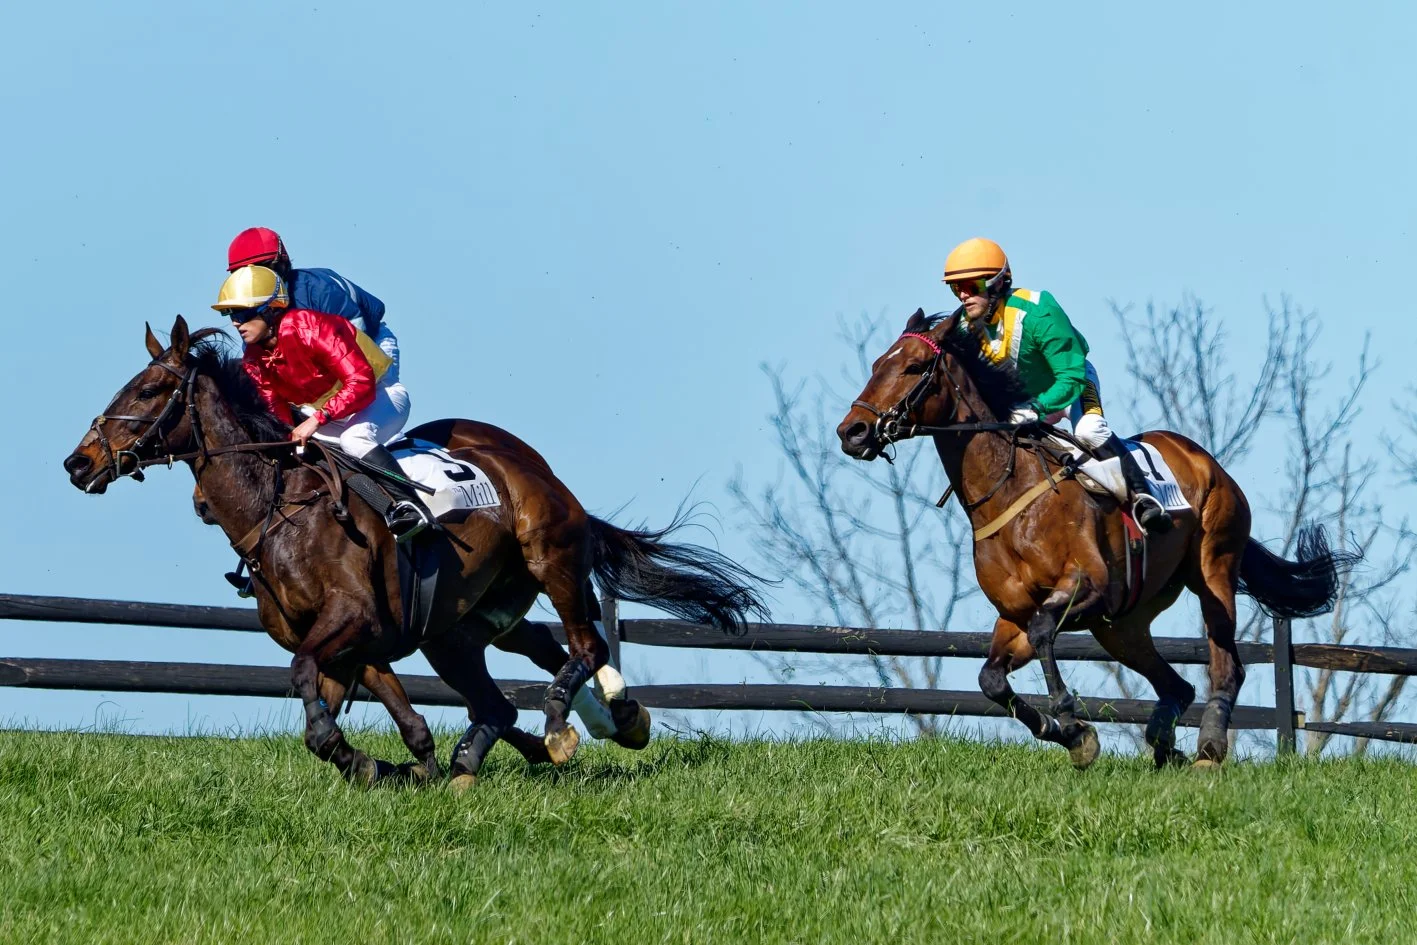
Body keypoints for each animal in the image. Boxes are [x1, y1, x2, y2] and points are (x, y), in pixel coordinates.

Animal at [64, 315, 766, 786]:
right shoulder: (367, 638)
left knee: (585, 645)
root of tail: (535, 466)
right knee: (519, 672)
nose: (79, 463)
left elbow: (308, 682)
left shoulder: (352, 621)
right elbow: (403, 722)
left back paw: (563, 724)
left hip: (549, 557)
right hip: (461, 625)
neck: (277, 510)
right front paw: (388, 764)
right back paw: (598, 723)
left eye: (149, 391)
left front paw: (352, 751)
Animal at [837, 309, 1351, 770]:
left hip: (1213, 567)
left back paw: (1208, 747)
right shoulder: (1016, 613)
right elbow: (991, 678)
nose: (852, 431)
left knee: (1227, 663)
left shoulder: (1089, 586)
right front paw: (1070, 736)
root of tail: (1204, 459)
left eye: (914, 367)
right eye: (877, 364)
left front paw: (1071, 719)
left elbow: (1044, 631)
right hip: (1121, 624)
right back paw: (1165, 745)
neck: (1009, 488)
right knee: (1176, 685)